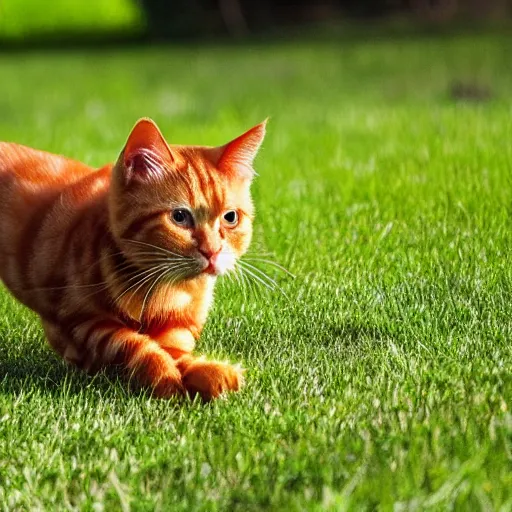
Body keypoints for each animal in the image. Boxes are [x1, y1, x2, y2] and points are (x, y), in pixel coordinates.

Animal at [0, 119, 266, 400]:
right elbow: (132, 343)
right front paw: (164, 377)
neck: (164, 289)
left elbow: (177, 353)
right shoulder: (81, 321)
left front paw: (209, 372)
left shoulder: (177, 329)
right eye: (179, 217)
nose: (212, 252)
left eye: (230, 217)